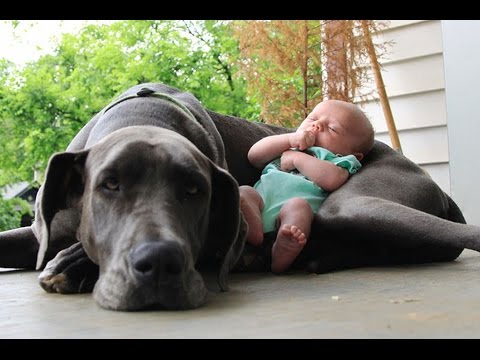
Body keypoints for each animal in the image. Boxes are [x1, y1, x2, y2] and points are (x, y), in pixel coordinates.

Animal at [0, 82, 480, 312]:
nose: (160, 261)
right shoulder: (39, 231)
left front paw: (73, 264)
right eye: (110, 186)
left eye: (194, 193)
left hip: (353, 203)